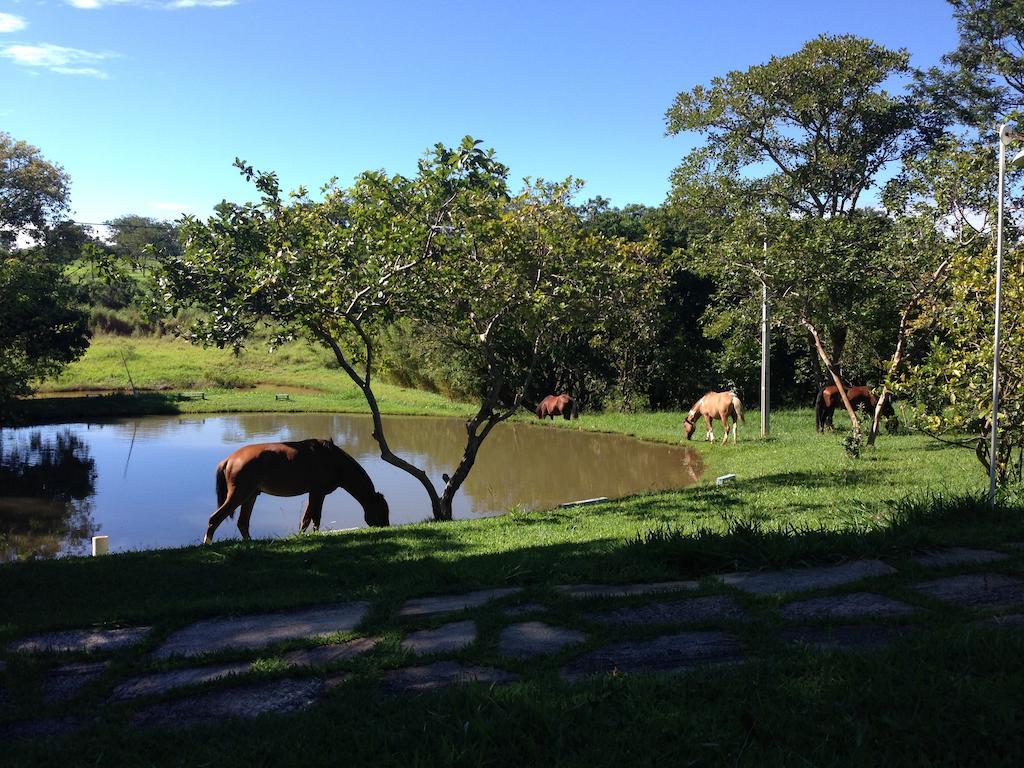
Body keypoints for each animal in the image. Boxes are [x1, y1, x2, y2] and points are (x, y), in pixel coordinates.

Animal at [205, 438, 389, 548]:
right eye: (383, 511)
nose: (386, 527)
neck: (335, 461)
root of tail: (229, 459)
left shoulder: (317, 494)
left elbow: (312, 518)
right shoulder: (317, 493)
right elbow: (310, 518)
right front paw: (306, 537)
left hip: (250, 496)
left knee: (242, 523)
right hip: (239, 495)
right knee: (215, 519)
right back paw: (207, 544)